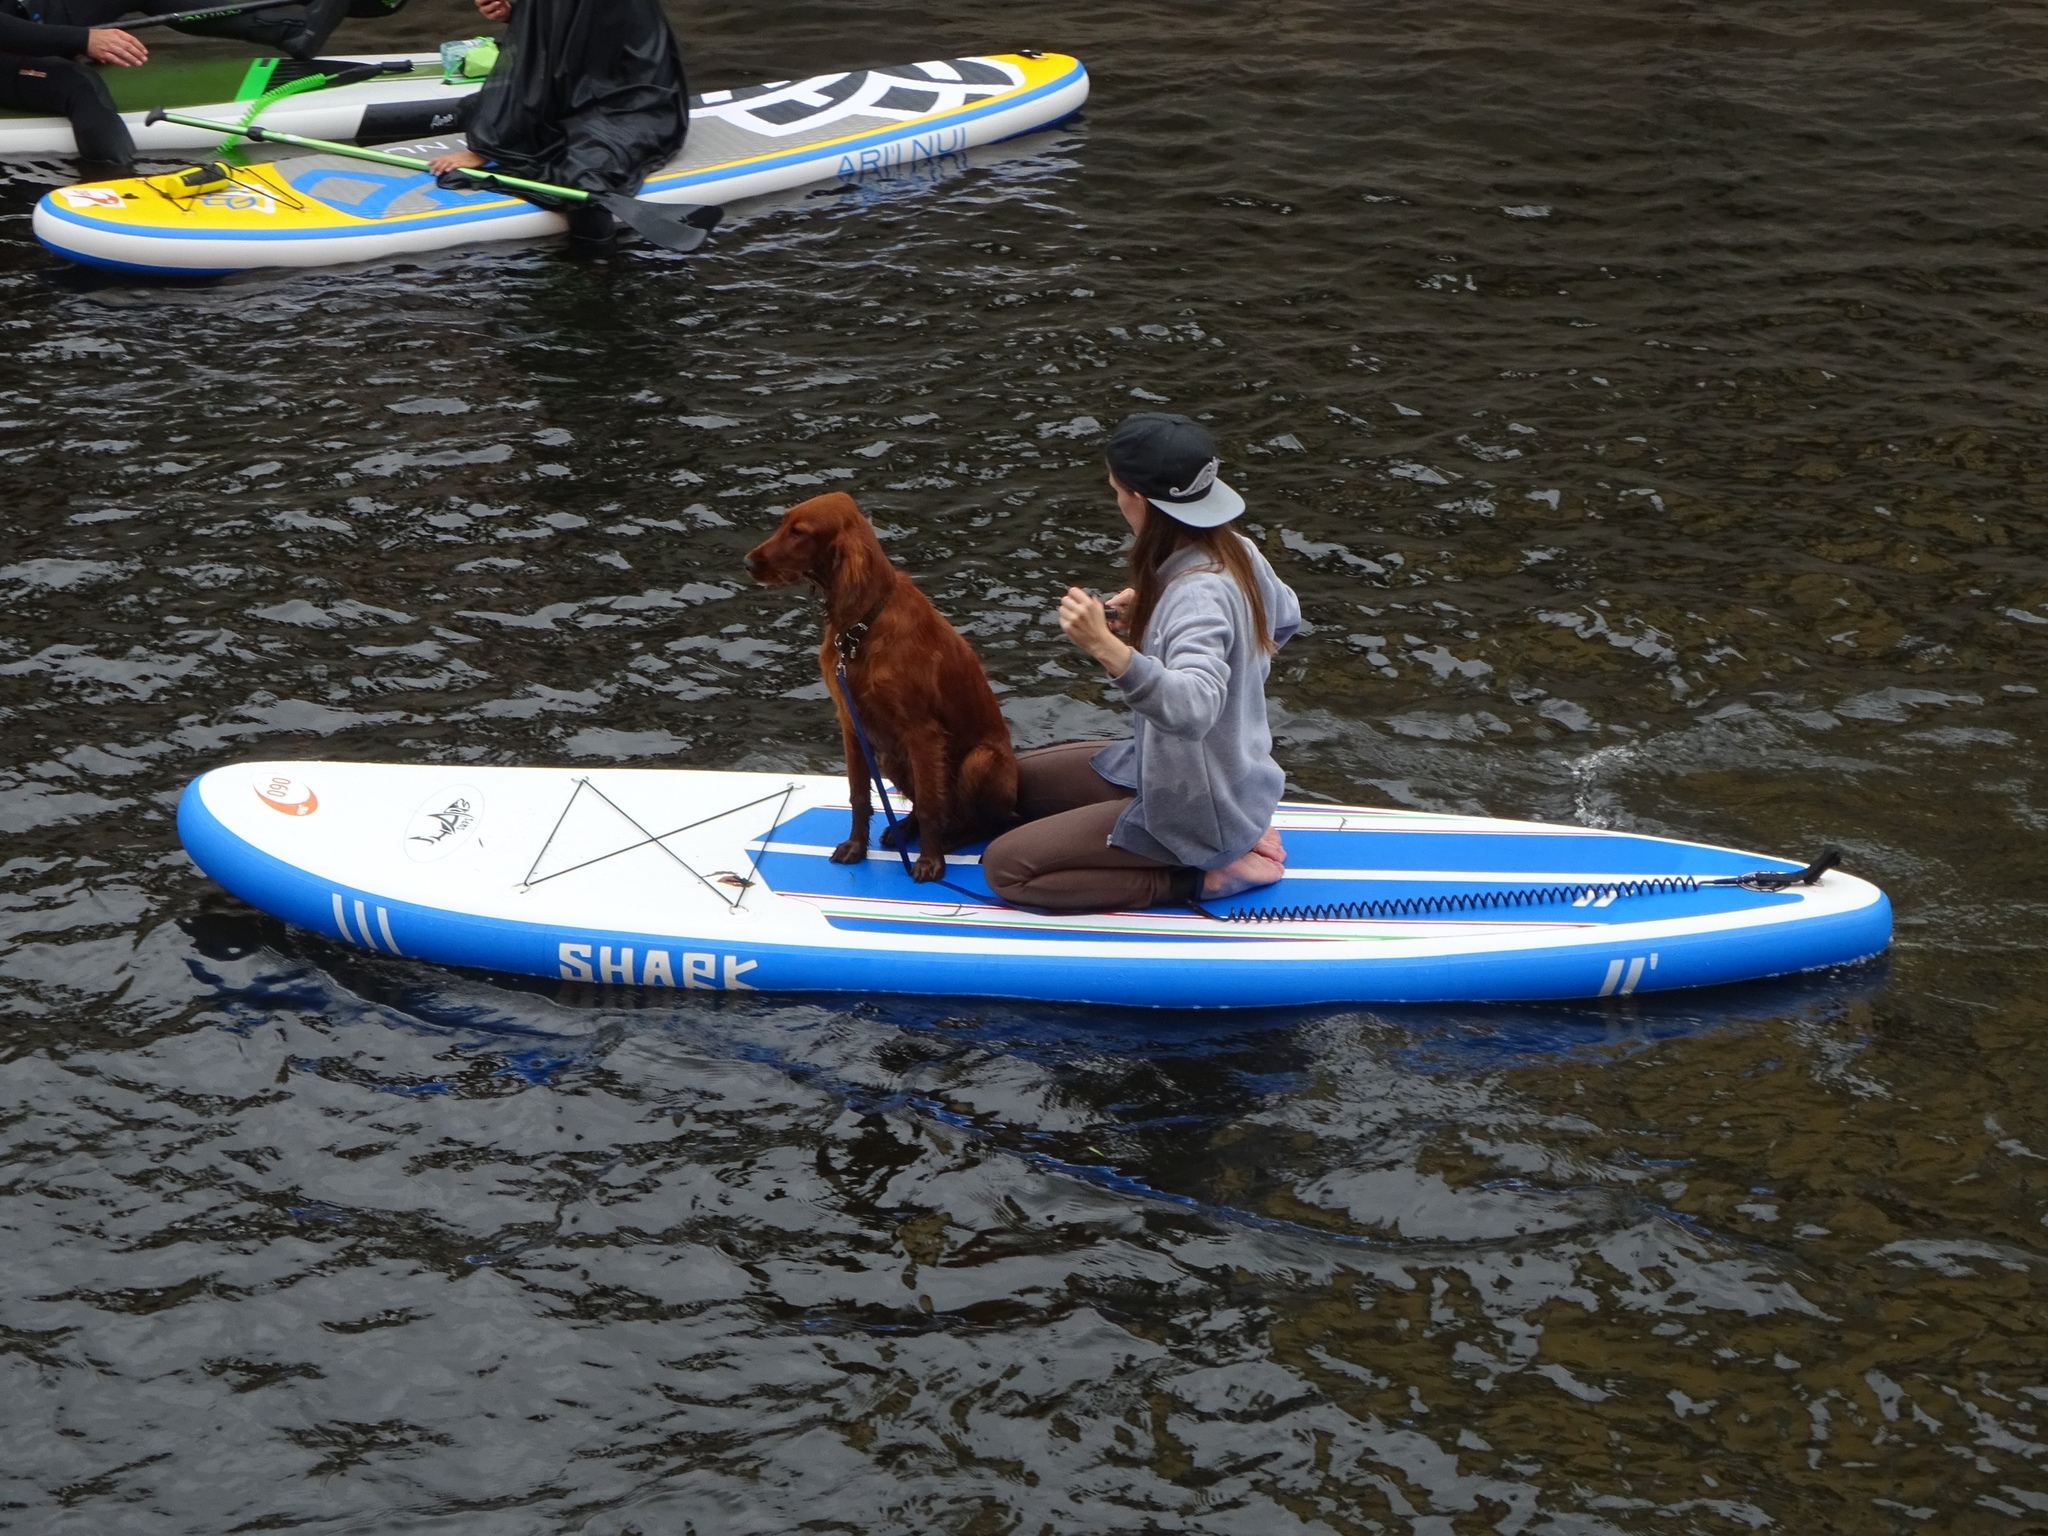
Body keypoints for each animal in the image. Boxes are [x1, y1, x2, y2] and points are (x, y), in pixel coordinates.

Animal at [745, 493, 1015, 876]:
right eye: (783, 523)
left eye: (799, 532)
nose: (747, 563)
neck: (862, 629)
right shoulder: (851, 722)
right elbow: (859, 794)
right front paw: (856, 847)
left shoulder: (922, 732)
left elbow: (931, 803)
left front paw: (930, 861)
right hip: (890, 756)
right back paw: (903, 827)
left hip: (981, 759)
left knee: (982, 822)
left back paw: (948, 840)